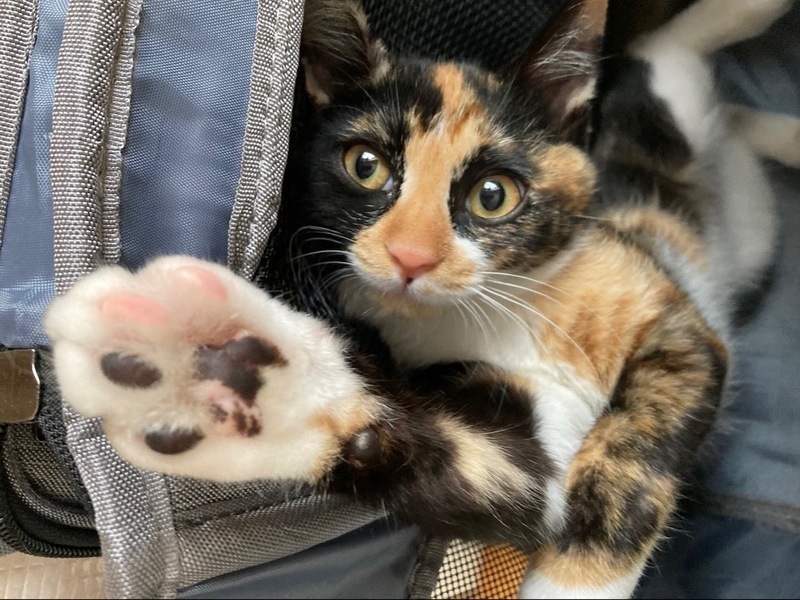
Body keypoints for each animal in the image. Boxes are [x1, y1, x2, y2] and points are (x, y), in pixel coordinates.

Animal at [43, 0, 792, 597]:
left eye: (493, 195)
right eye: (365, 165)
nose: (411, 257)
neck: (497, 312)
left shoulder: (671, 316)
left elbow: (638, 446)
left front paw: (576, 582)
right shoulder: (524, 450)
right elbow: (482, 464)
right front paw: (199, 364)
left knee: (671, 49)